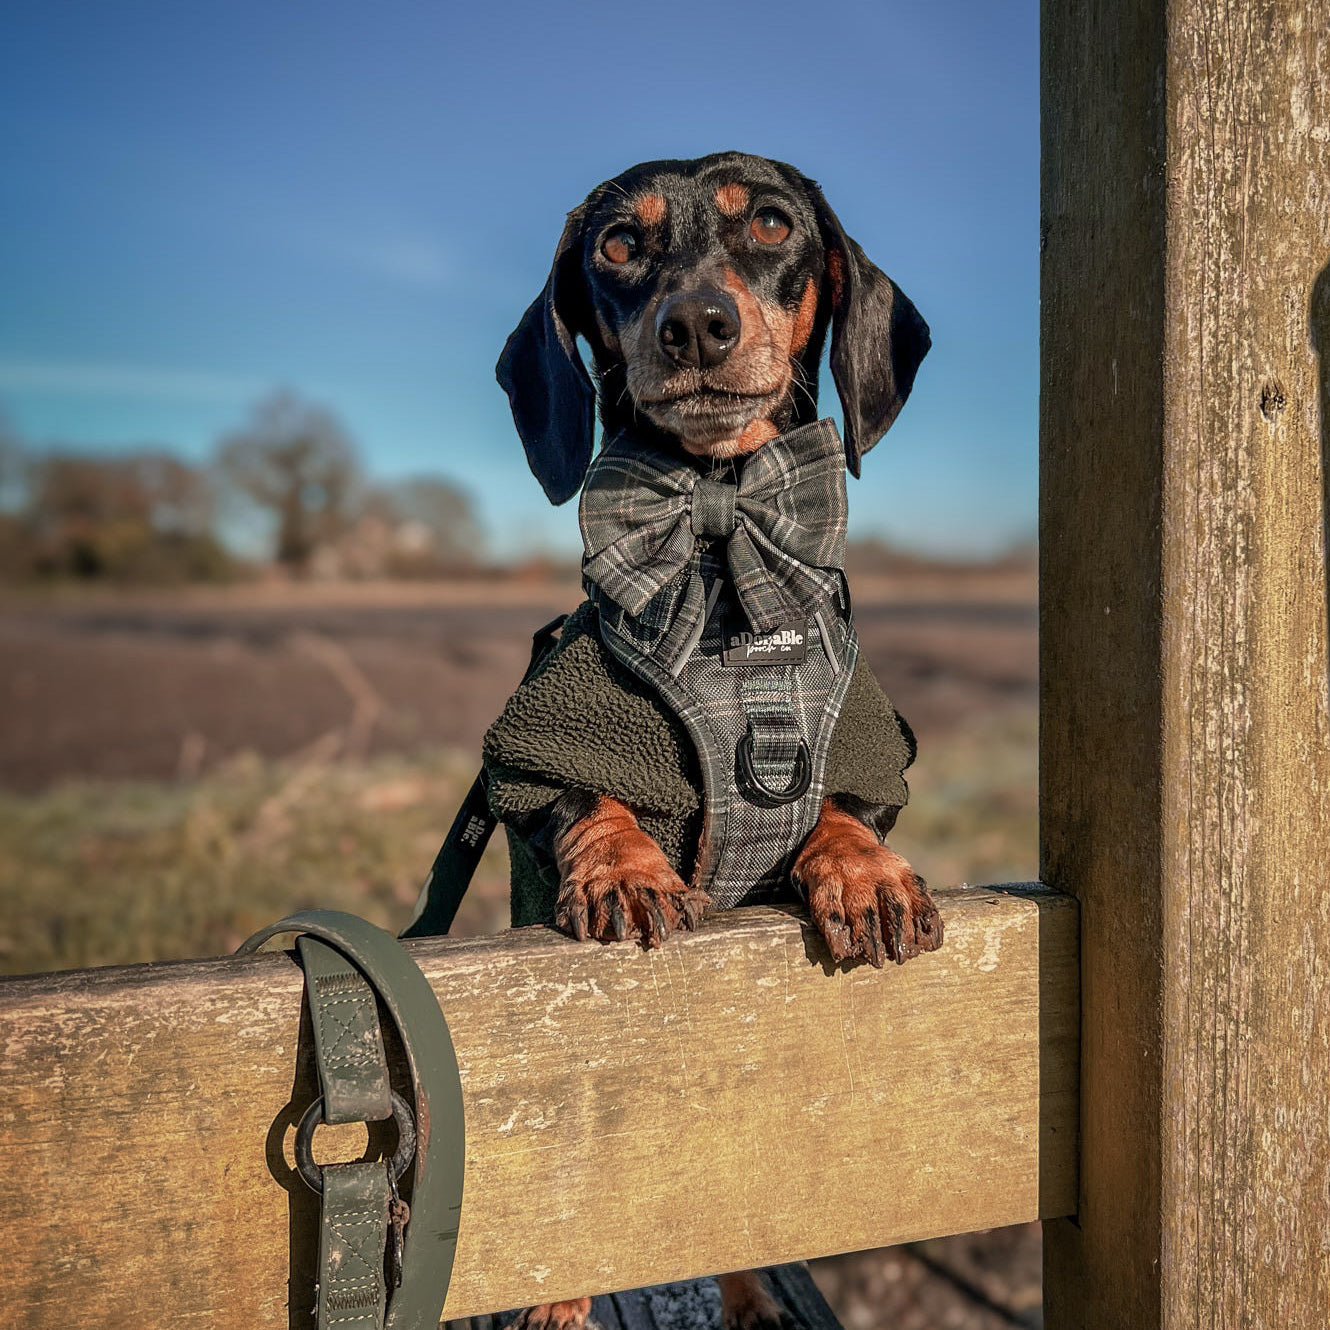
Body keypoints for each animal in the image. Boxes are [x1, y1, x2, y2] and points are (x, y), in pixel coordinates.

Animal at [494, 150, 941, 1330]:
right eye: (617, 244)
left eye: (774, 225)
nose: (695, 324)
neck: (719, 519)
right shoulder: (539, 742)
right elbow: (585, 795)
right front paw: (624, 868)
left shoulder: (862, 740)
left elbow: (838, 806)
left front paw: (863, 871)